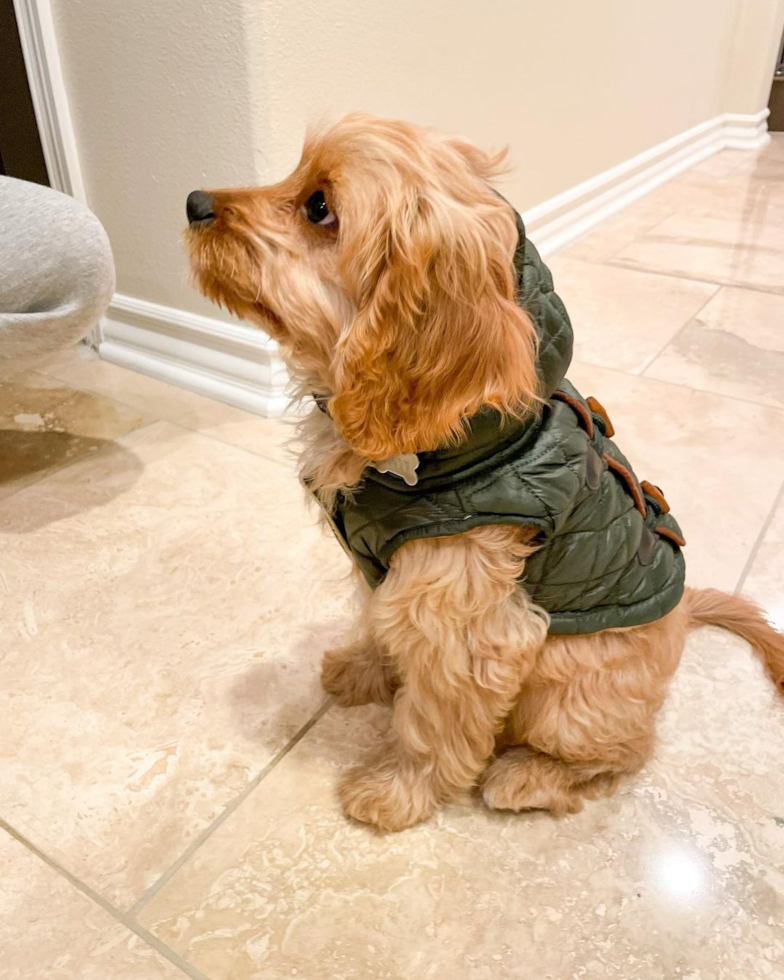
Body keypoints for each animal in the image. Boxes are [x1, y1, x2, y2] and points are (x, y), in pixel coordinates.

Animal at [185, 117, 784, 836]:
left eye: (319, 207)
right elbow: (379, 627)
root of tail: (683, 610)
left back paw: (529, 776)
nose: (192, 202)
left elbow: (433, 720)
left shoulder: (469, 626)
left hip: (569, 685)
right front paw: (364, 671)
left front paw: (395, 791)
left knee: (624, 755)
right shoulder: (387, 574)